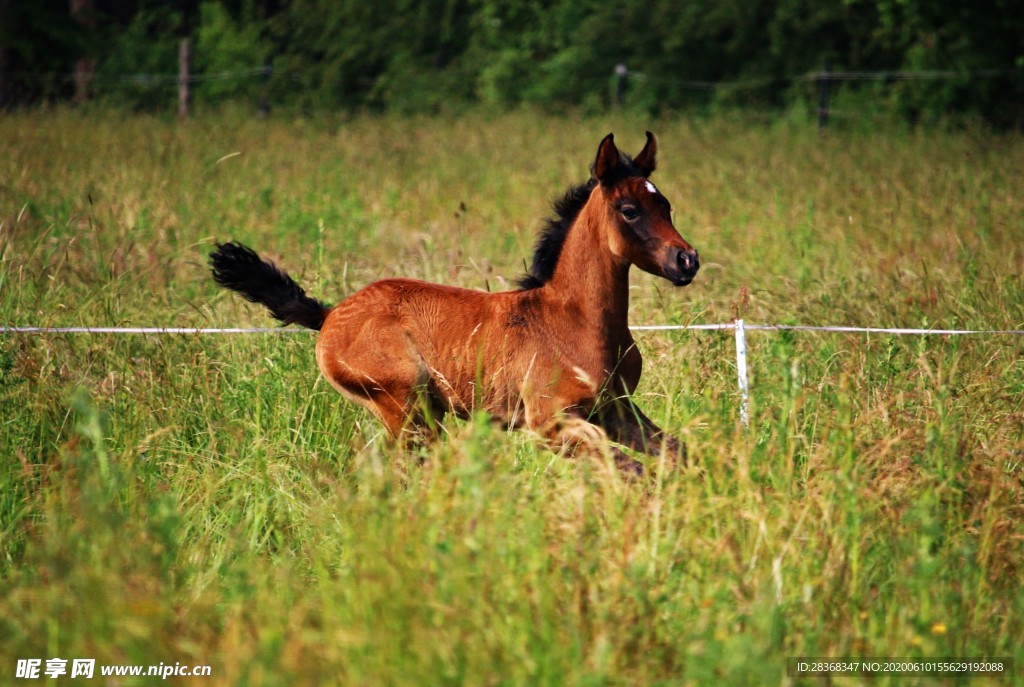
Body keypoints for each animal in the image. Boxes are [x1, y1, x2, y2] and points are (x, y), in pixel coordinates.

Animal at [209, 132, 699, 474]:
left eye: (667, 206)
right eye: (629, 210)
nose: (687, 260)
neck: (575, 320)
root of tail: (329, 316)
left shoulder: (617, 410)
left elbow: (676, 455)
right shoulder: (550, 424)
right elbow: (628, 471)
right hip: (407, 409)